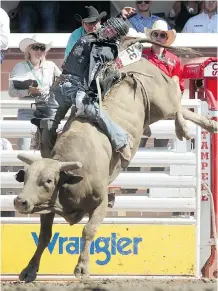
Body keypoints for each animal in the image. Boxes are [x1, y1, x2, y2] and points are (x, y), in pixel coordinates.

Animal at [14, 38, 218, 282]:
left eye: (47, 181)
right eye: (26, 177)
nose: (20, 201)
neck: (72, 175)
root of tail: (142, 62)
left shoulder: (101, 203)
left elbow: (88, 231)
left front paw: (82, 269)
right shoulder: (48, 207)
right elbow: (45, 235)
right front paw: (29, 270)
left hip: (162, 102)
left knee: (177, 98)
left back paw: (183, 129)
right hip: (155, 111)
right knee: (183, 109)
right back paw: (210, 124)